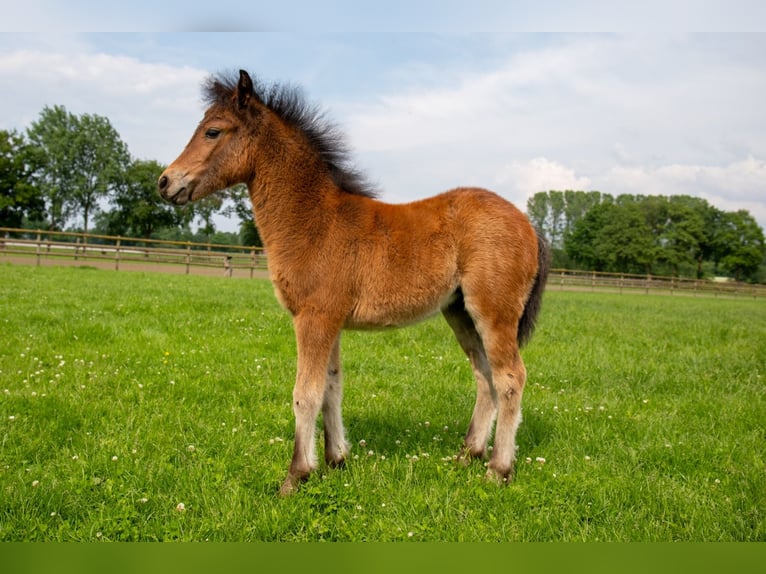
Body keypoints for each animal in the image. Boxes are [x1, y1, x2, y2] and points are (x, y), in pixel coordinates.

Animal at [159, 71, 548, 496]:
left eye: (212, 131)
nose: (165, 182)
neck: (314, 220)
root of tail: (528, 223)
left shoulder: (313, 318)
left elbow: (305, 393)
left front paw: (295, 475)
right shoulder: (330, 321)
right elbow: (332, 387)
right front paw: (335, 460)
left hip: (493, 312)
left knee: (510, 378)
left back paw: (498, 468)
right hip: (459, 312)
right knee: (485, 376)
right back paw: (468, 455)